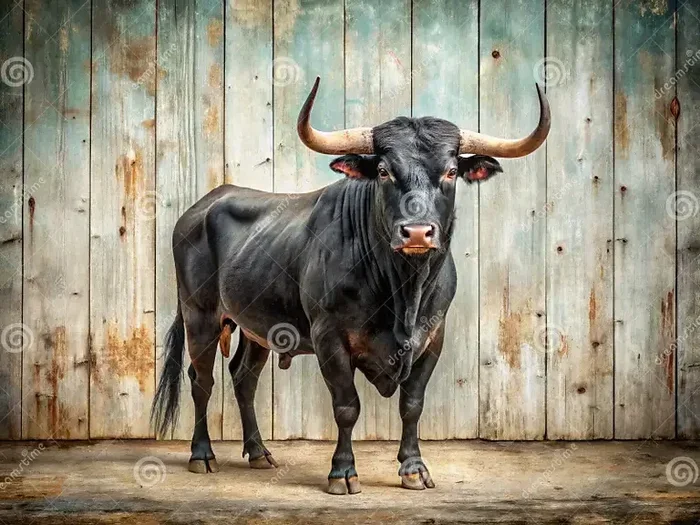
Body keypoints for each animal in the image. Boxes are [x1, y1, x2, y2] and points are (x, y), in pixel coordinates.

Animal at [151, 77, 550, 494]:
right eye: (384, 171)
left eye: (452, 171)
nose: (417, 232)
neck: (402, 292)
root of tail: (203, 206)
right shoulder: (330, 338)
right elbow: (347, 406)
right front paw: (342, 471)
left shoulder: (432, 338)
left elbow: (412, 405)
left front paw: (414, 468)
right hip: (200, 315)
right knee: (202, 380)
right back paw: (202, 455)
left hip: (255, 326)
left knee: (244, 379)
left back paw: (259, 453)